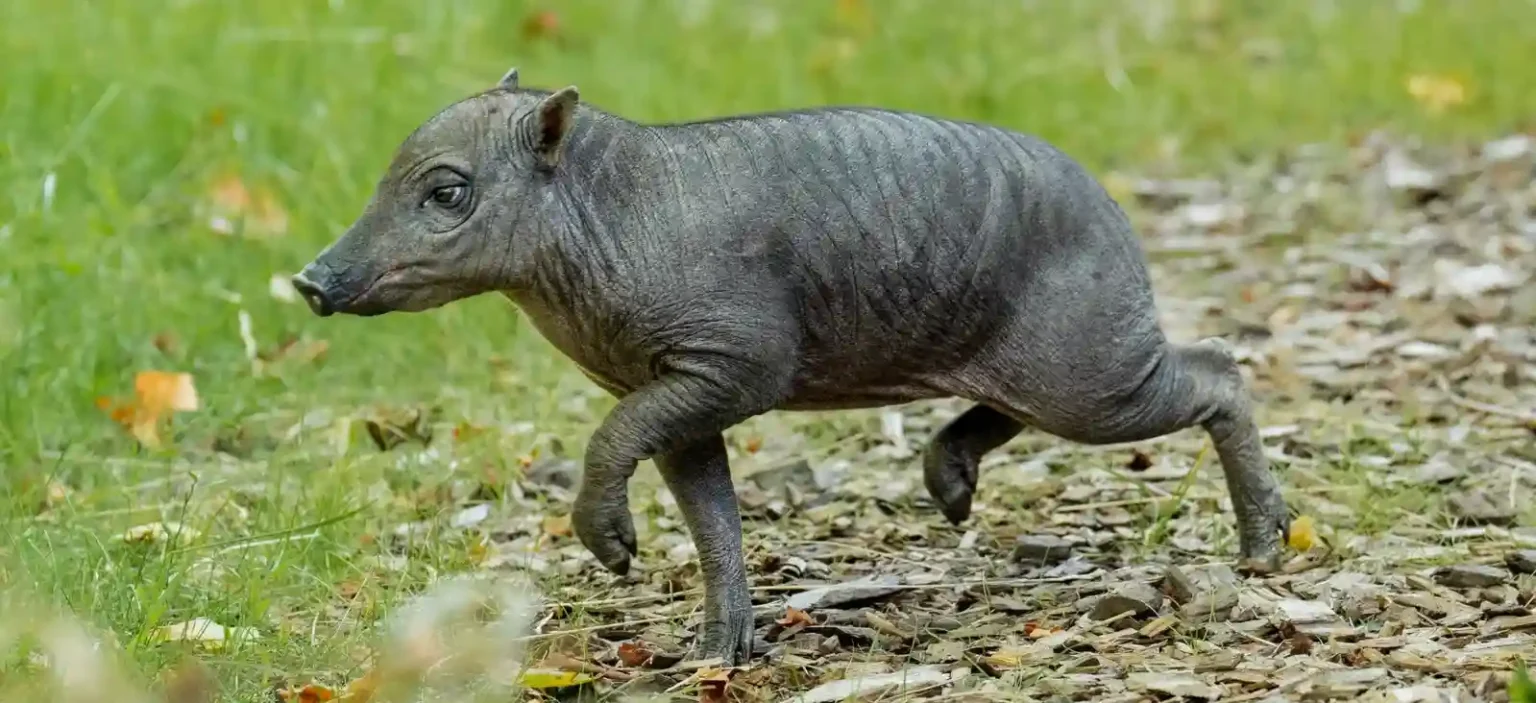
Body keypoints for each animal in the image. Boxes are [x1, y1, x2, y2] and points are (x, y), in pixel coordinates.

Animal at [292, 68, 1290, 665]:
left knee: (1218, 368)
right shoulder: (678, 394)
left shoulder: (733, 364)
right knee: (1010, 409)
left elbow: (613, 438)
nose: (308, 280)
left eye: (445, 191)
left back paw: (1264, 545)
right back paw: (950, 489)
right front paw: (714, 652)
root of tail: (1120, 221)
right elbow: (710, 516)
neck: (602, 224)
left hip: (1089, 366)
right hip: (1040, 360)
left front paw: (614, 550)